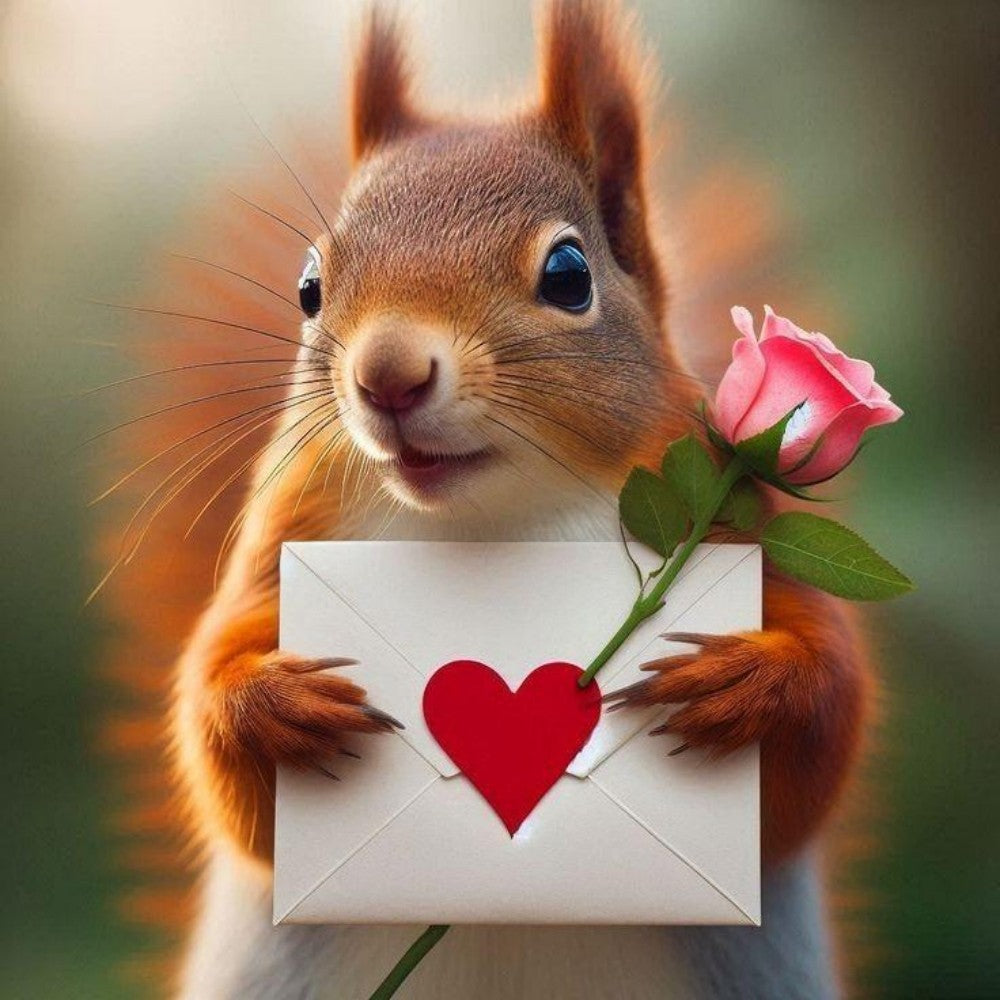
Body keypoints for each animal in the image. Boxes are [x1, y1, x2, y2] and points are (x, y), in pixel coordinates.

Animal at [106, 2, 872, 997]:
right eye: (309, 288)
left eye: (570, 275)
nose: (388, 375)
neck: (492, 529)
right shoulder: (283, 546)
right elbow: (218, 747)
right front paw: (271, 703)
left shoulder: (748, 541)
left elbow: (820, 735)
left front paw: (747, 682)